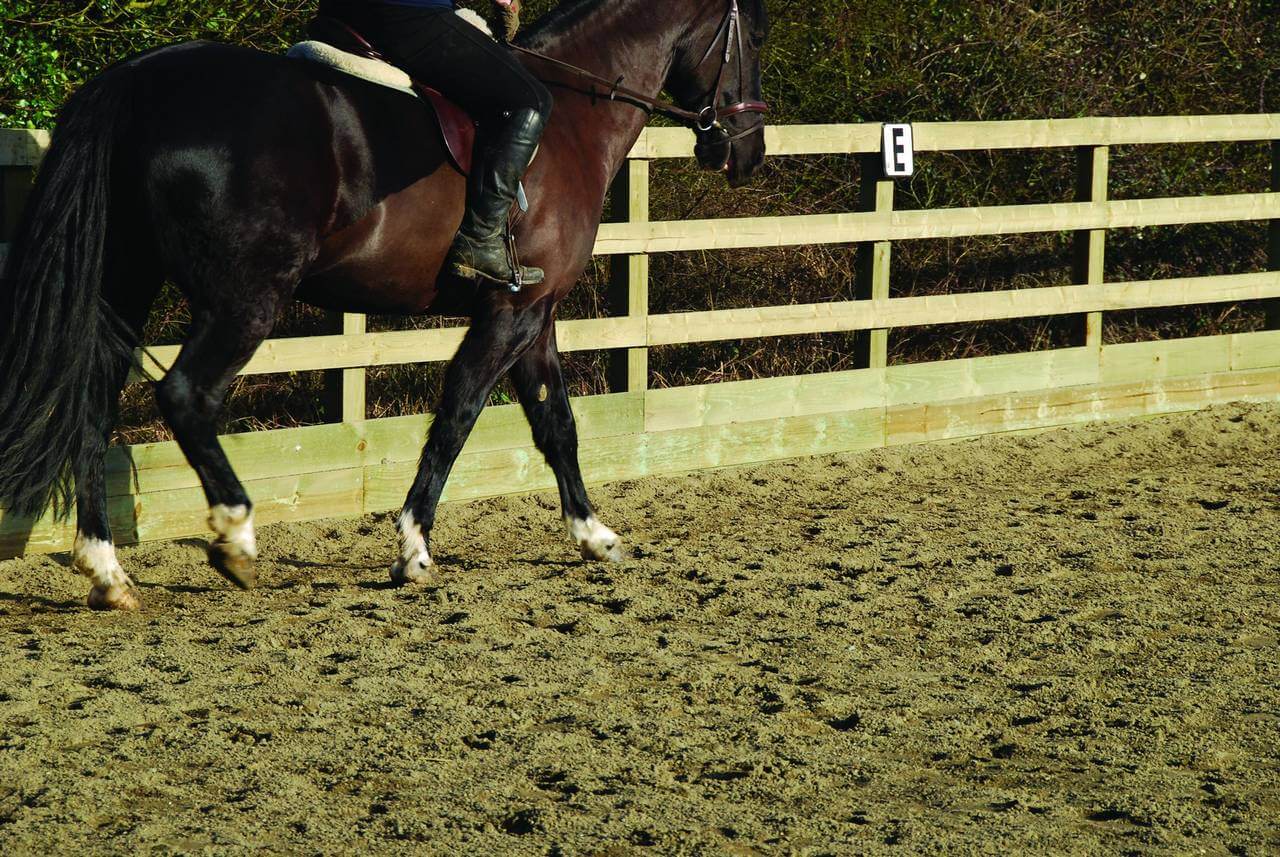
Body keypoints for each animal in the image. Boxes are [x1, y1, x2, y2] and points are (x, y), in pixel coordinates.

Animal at [0, 0, 768, 611]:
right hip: (247, 297)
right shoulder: (510, 312)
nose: (748, 154)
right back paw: (237, 538)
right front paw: (413, 548)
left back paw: (107, 570)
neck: (573, 118)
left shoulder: (534, 308)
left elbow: (556, 424)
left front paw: (594, 535)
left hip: (126, 282)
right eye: (754, 34)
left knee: (92, 401)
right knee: (187, 394)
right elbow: (458, 413)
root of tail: (137, 83)